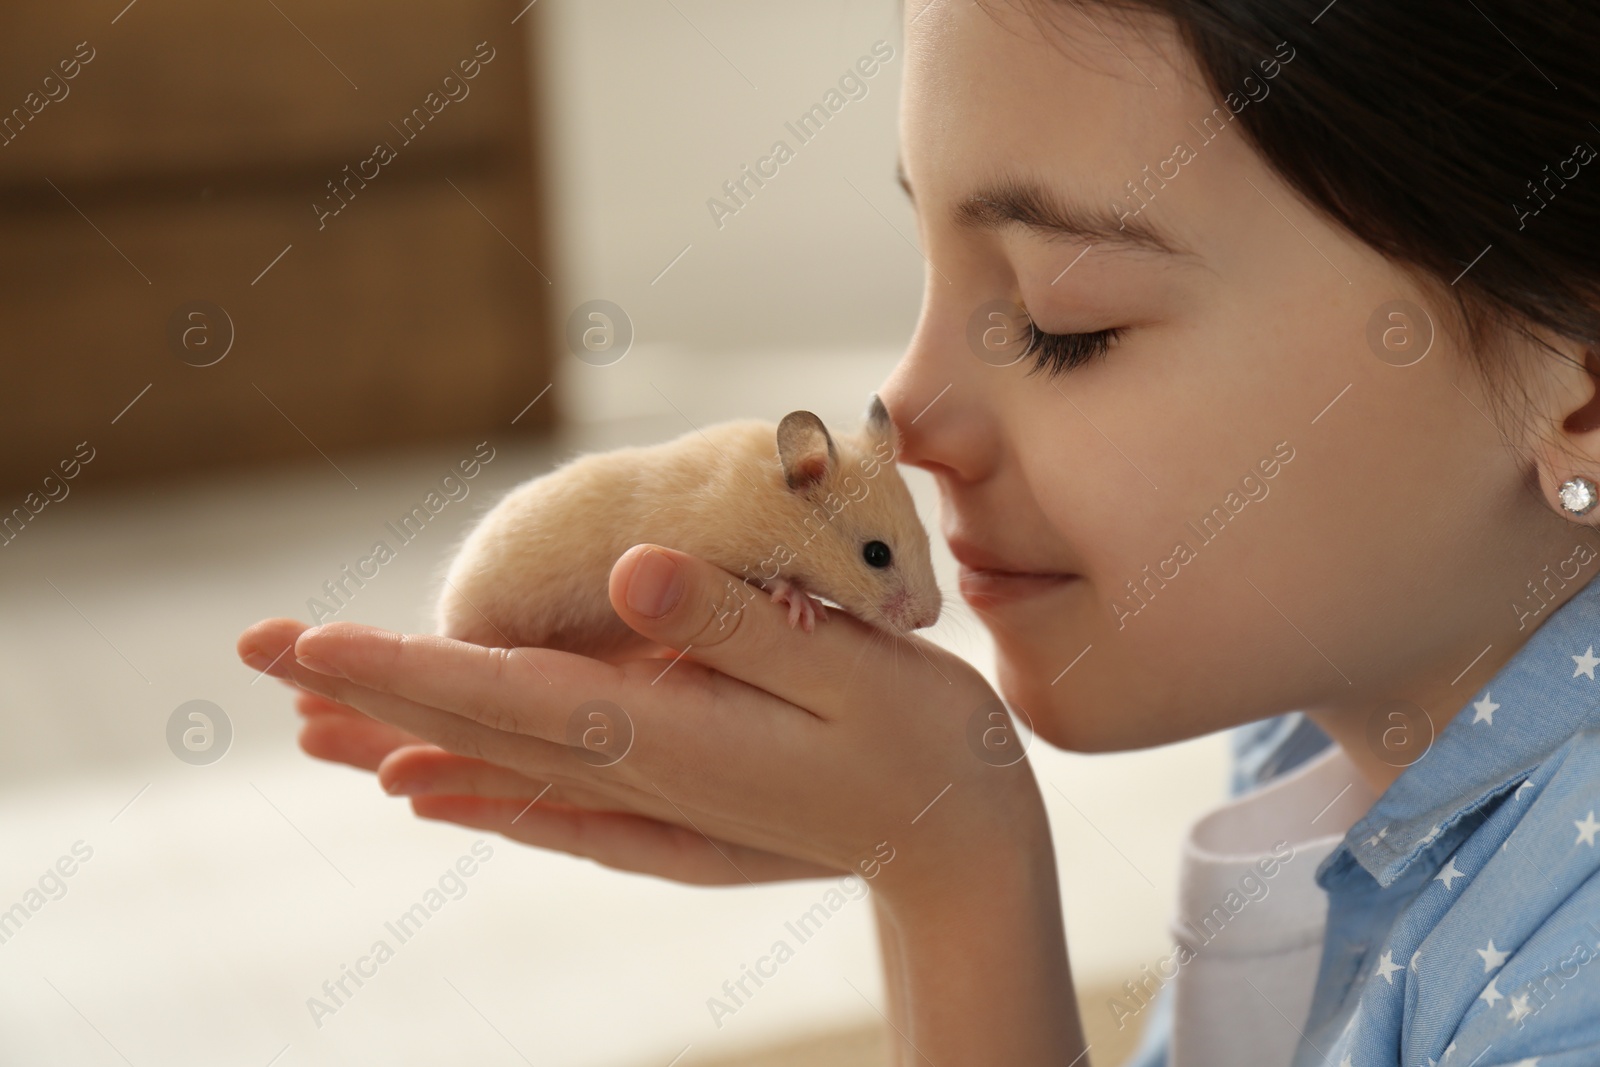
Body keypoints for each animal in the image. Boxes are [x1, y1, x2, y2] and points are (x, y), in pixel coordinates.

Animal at [432, 395, 940, 659]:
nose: (929, 620)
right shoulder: (707, 541)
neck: (772, 506)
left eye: (927, 539)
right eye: (876, 554)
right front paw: (803, 606)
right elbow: (771, 579)